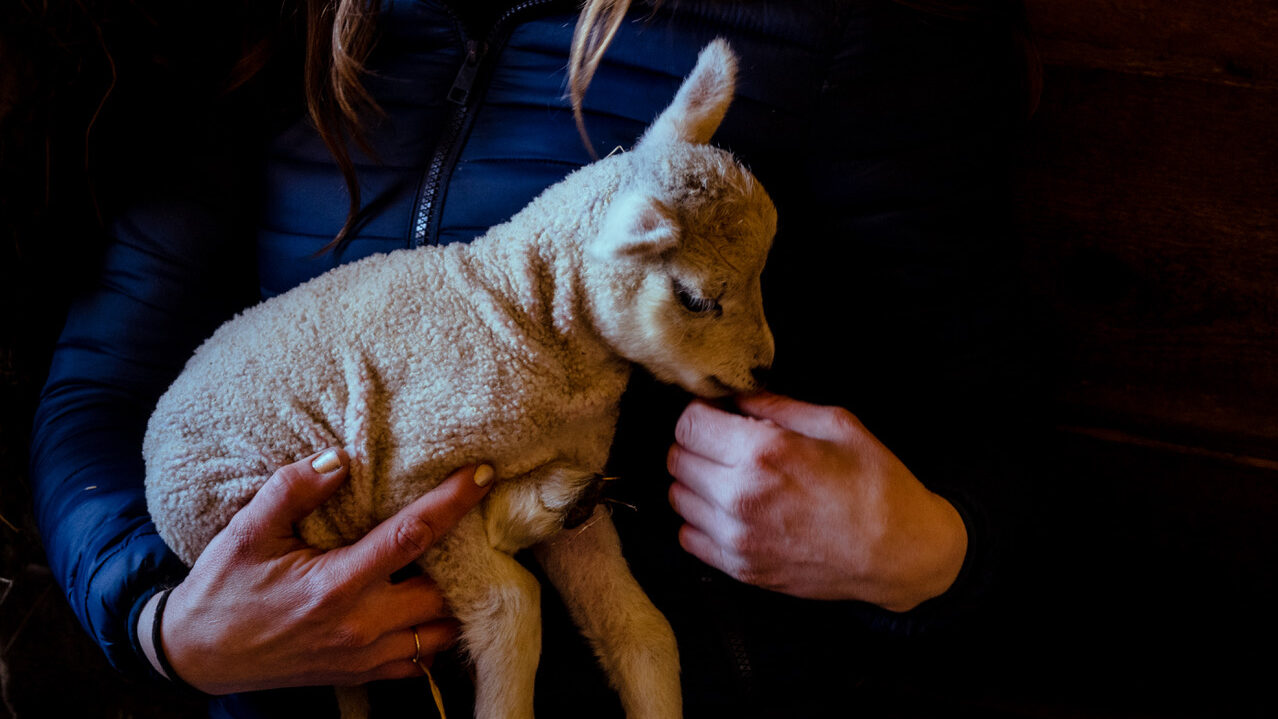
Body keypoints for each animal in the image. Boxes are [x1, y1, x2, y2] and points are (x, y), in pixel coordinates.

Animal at [145, 40, 771, 719]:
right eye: (697, 299)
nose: (764, 367)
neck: (523, 317)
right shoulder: (410, 482)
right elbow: (509, 611)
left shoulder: (575, 491)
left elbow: (639, 629)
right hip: (245, 498)